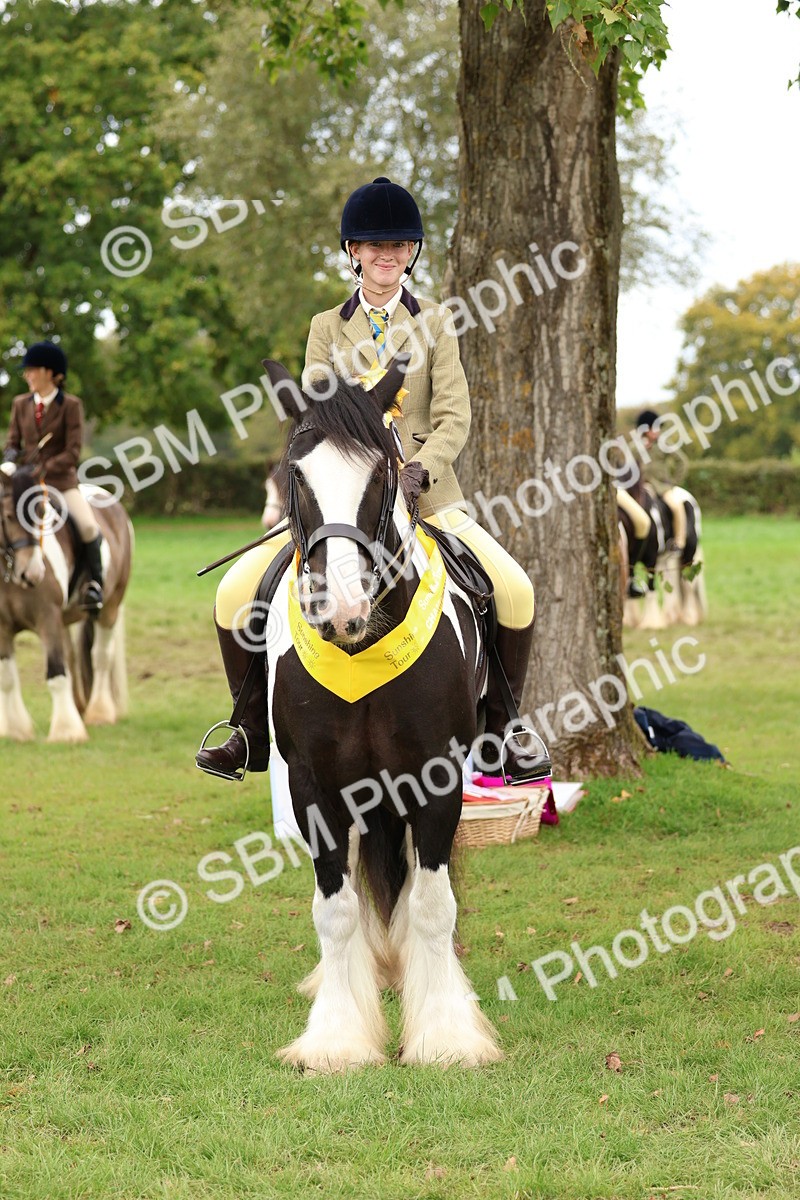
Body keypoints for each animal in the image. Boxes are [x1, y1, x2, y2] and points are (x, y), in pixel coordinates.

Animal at [0, 466, 132, 741]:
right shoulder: (2, 627)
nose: (32, 573)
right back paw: (79, 708)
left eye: (41, 514)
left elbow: (56, 673)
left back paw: (99, 713)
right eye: (7, 516)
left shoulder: (47, 617)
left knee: (100, 657)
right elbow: (7, 678)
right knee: (72, 657)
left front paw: (66, 732)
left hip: (110, 608)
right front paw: (15, 730)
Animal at [259, 354, 502, 1073]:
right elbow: (334, 910)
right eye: (296, 474)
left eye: (381, 472)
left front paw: (446, 1035)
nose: (339, 612)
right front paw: (337, 1039)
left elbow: (433, 904)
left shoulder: (437, 778)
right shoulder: (314, 784)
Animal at [619, 478, 707, 630]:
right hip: (666, 559)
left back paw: (689, 618)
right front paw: (629, 621)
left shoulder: (651, 559)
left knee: (688, 585)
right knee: (672, 582)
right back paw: (671, 616)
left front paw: (651, 623)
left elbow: (651, 588)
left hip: (688, 555)